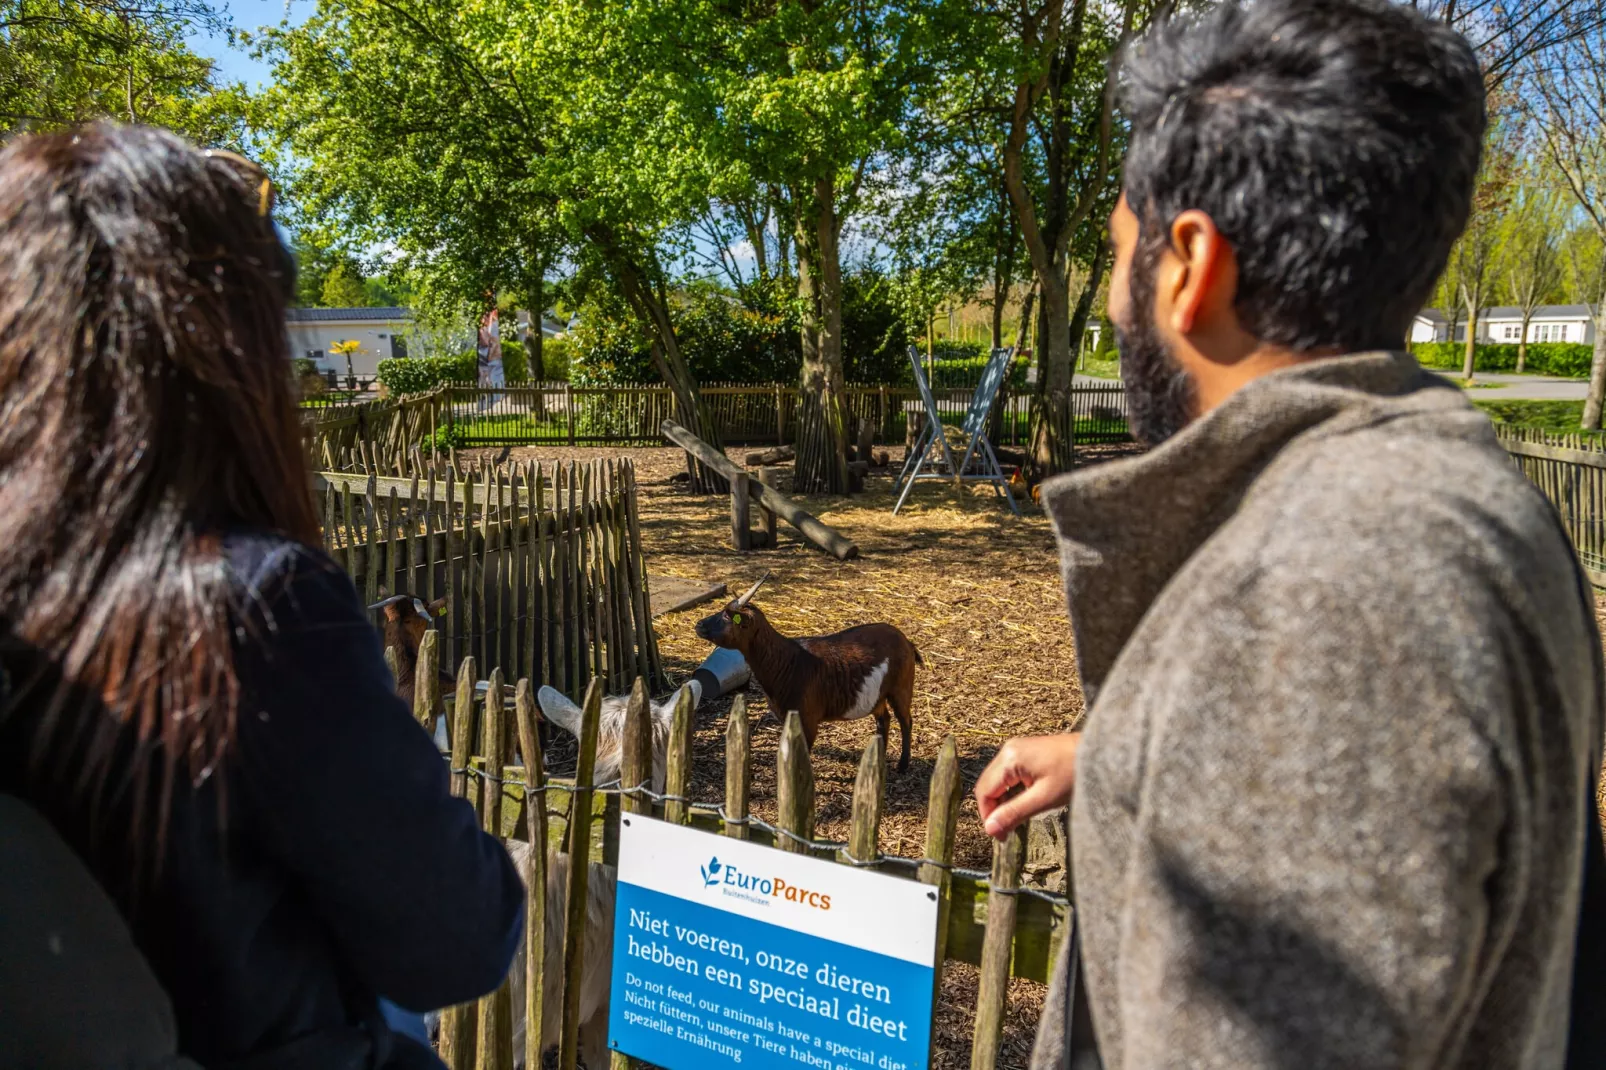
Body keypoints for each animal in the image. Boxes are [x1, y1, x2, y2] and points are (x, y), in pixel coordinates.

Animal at [697, 571, 925, 771]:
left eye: (727, 616)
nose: (699, 624)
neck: (786, 662)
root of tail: (907, 642)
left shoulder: (808, 721)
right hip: (877, 696)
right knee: (883, 719)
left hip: (901, 689)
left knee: (906, 720)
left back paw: (902, 766)